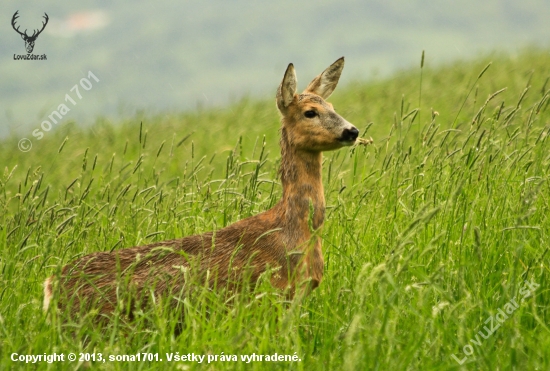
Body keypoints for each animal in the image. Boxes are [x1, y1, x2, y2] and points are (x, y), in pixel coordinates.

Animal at [44, 58, 362, 322]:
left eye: (333, 108)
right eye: (310, 112)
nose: (352, 131)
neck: (293, 229)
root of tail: (51, 286)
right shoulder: (271, 295)